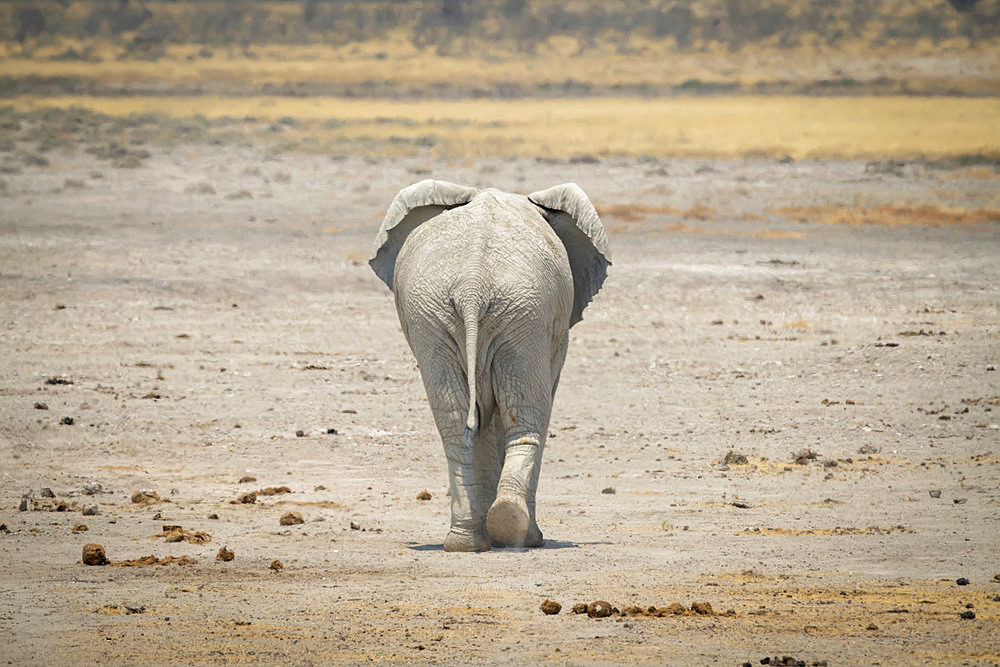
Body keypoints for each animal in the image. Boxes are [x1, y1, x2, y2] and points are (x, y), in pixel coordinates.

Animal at [372, 181, 608, 552]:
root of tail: (473, 286)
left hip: (440, 318)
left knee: (456, 422)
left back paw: (466, 542)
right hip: (522, 315)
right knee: (526, 417)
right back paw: (519, 533)